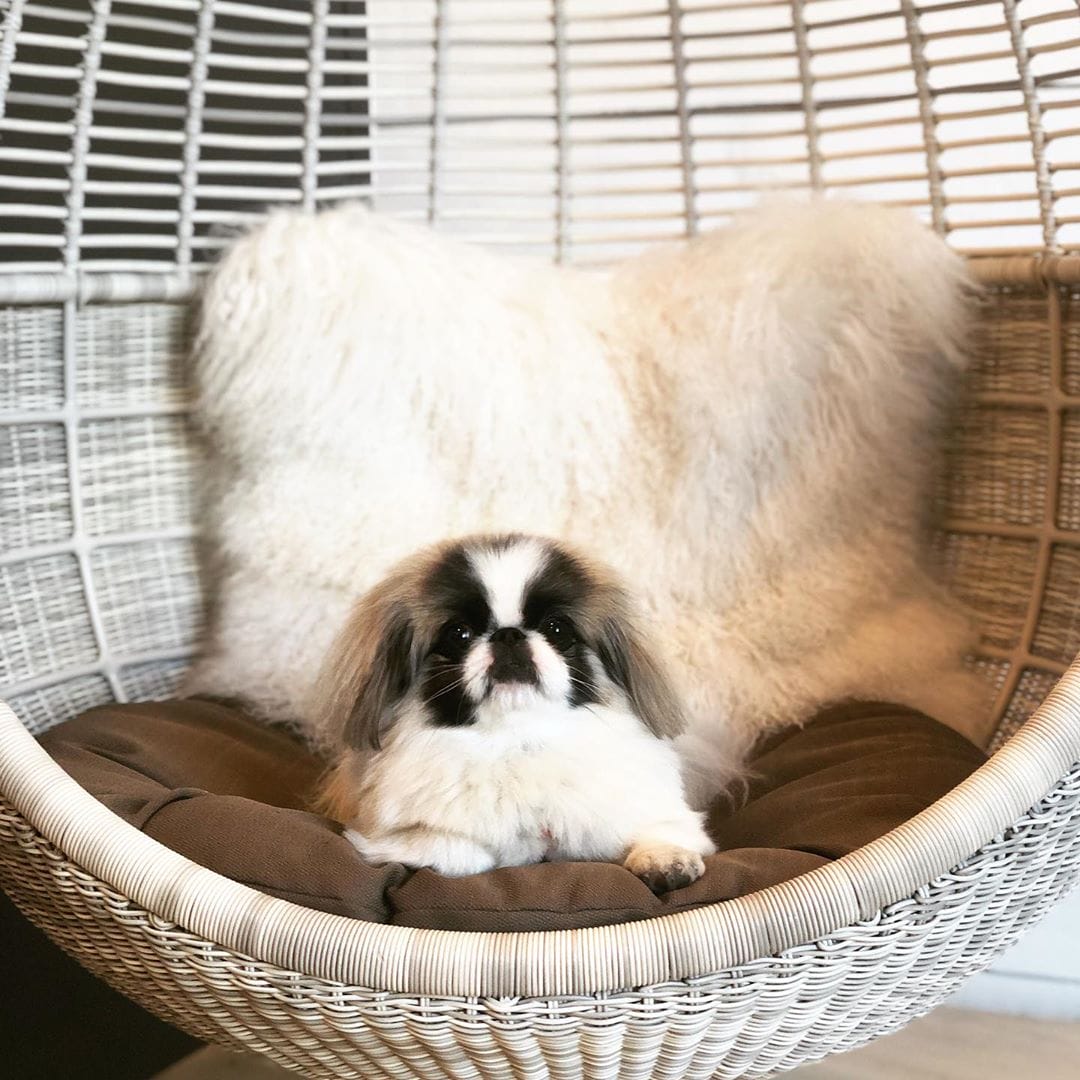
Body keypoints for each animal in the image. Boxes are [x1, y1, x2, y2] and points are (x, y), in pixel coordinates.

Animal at [312, 533, 715, 892]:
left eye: (557, 629)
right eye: (458, 634)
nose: (508, 634)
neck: (518, 740)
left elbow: (661, 831)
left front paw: (666, 860)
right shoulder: (392, 836)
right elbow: (464, 850)